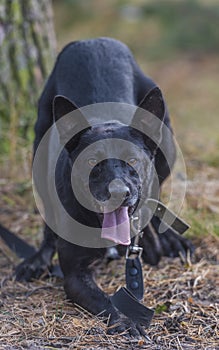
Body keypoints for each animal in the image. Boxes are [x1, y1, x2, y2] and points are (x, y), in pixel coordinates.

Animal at [15, 37, 193, 336]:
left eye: (132, 159)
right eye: (91, 162)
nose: (119, 194)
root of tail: (91, 40)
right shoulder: (75, 275)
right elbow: (106, 300)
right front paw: (126, 320)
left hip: (166, 146)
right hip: (39, 148)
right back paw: (37, 259)